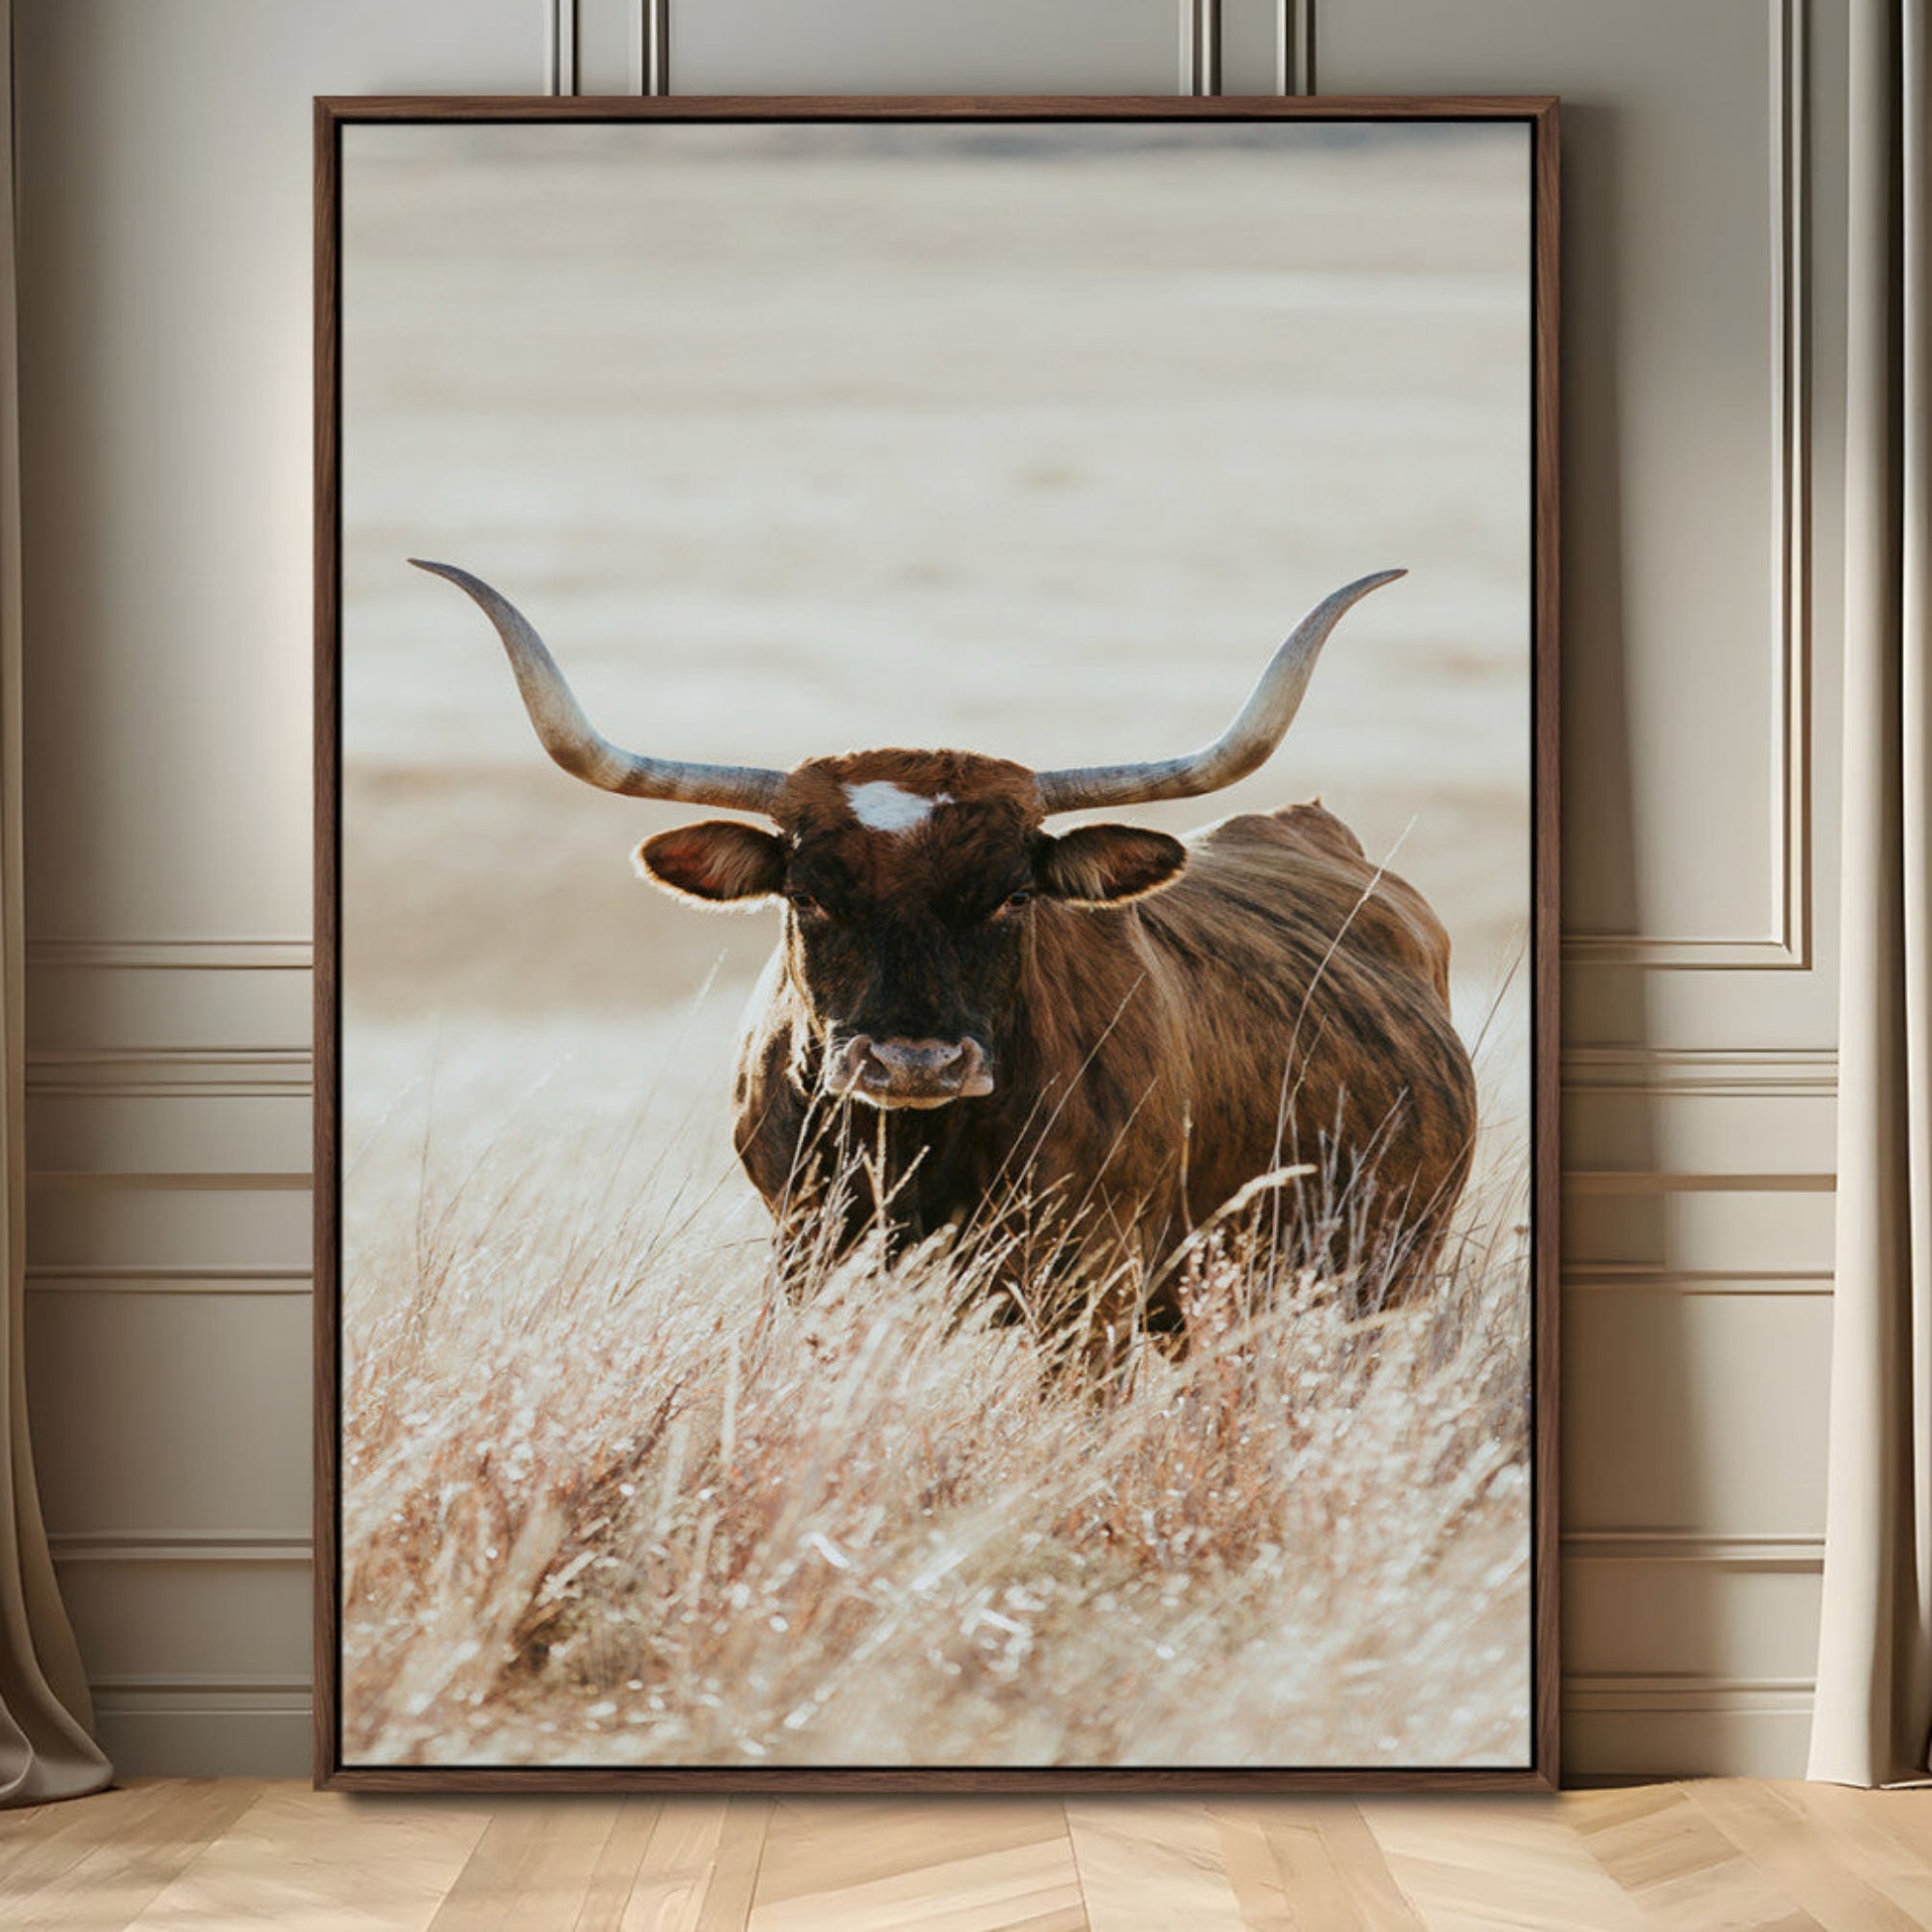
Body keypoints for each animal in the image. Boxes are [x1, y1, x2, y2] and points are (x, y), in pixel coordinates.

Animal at [413, 560, 1478, 1341]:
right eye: (809, 894)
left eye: (1013, 895)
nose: (913, 1062)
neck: (919, 1148)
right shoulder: (807, 1254)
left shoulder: (1091, 1284)